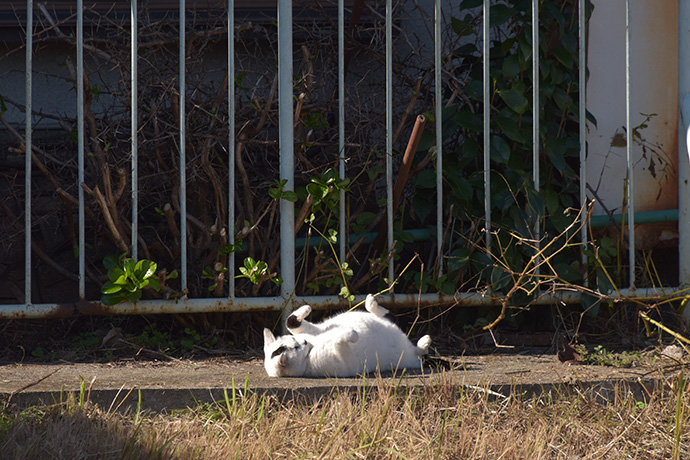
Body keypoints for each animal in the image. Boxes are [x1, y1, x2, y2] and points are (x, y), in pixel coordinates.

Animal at [260, 294, 428, 378]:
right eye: (296, 347)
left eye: (295, 341)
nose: (305, 341)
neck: (312, 349)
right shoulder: (348, 364)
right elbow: (343, 338)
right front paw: (353, 333)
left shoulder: (311, 329)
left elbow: (290, 321)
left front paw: (306, 308)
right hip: (410, 358)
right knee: (421, 354)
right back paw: (425, 342)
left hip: (388, 323)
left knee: (388, 315)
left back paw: (371, 302)